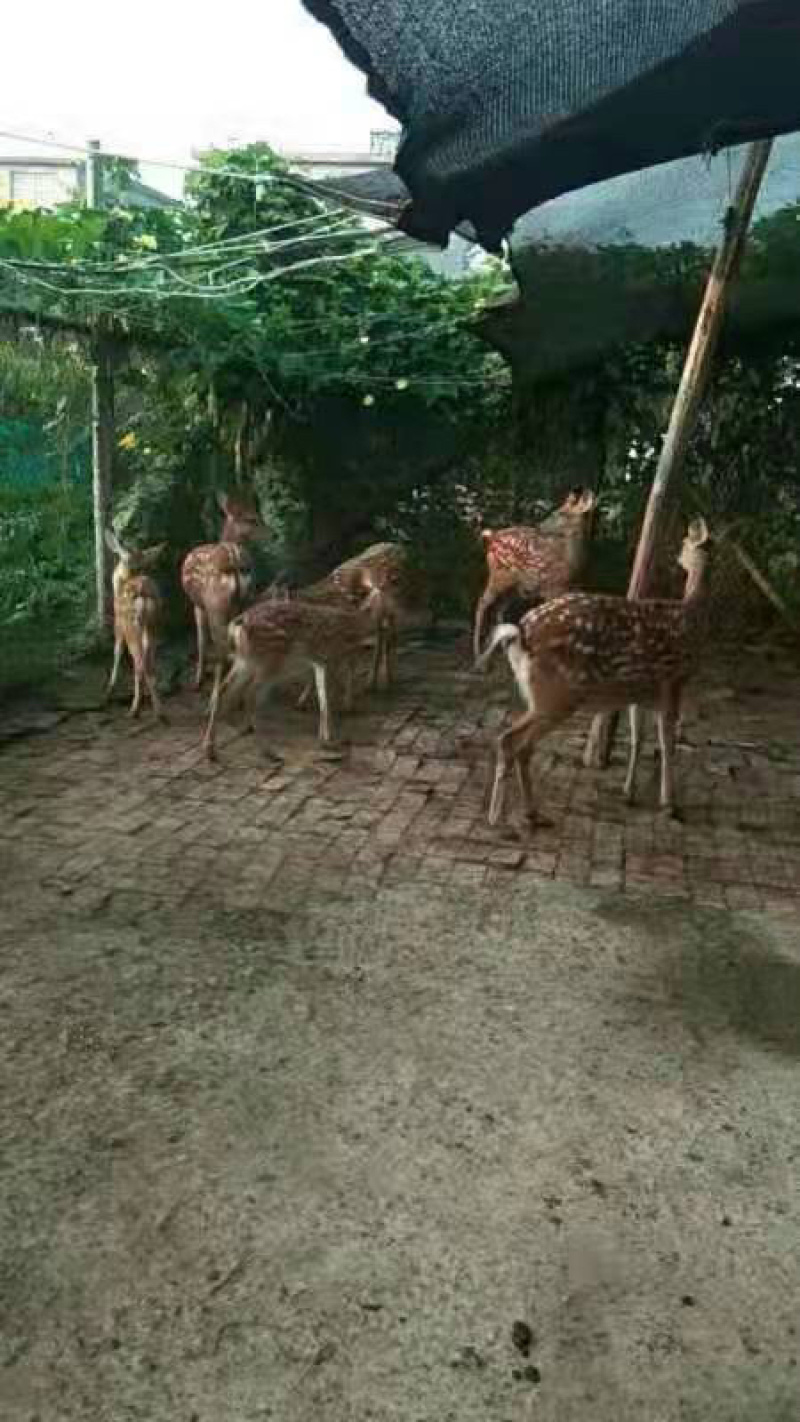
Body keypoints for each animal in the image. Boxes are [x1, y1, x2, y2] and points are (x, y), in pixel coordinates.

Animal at [104, 530, 166, 721]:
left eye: (122, 557)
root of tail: (142, 595)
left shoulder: (118, 623)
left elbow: (116, 650)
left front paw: (110, 686)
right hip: (153, 626)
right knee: (150, 665)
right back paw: (157, 710)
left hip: (132, 628)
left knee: (139, 665)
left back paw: (136, 709)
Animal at [181, 492, 268, 696]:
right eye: (252, 519)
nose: (271, 533)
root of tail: (234, 563)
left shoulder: (198, 604)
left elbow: (201, 640)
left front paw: (197, 680)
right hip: (246, 600)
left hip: (216, 606)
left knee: (220, 647)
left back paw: (215, 691)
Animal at [201, 569, 390, 762]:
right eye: (380, 600)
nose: (385, 624)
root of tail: (238, 624)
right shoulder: (330, 658)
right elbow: (327, 697)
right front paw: (328, 739)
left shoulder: (320, 661)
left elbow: (321, 695)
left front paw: (324, 738)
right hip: (270, 660)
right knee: (249, 695)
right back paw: (267, 751)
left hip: (245, 661)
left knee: (223, 692)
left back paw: (210, 749)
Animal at [473, 487, 597, 661]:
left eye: (561, 514)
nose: (540, 526)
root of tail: (491, 537)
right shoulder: (551, 587)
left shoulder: (572, 587)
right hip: (500, 575)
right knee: (483, 602)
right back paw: (477, 652)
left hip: (517, 586)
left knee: (499, 608)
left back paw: (503, 649)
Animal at [476, 518, 714, 828]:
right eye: (687, 542)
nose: (677, 558)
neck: (693, 619)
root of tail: (520, 635)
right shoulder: (673, 681)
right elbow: (667, 743)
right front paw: (669, 805)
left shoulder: (642, 692)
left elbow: (639, 738)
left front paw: (629, 793)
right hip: (556, 695)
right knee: (510, 740)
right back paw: (498, 816)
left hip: (543, 696)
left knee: (521, 746)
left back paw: (531, 812)